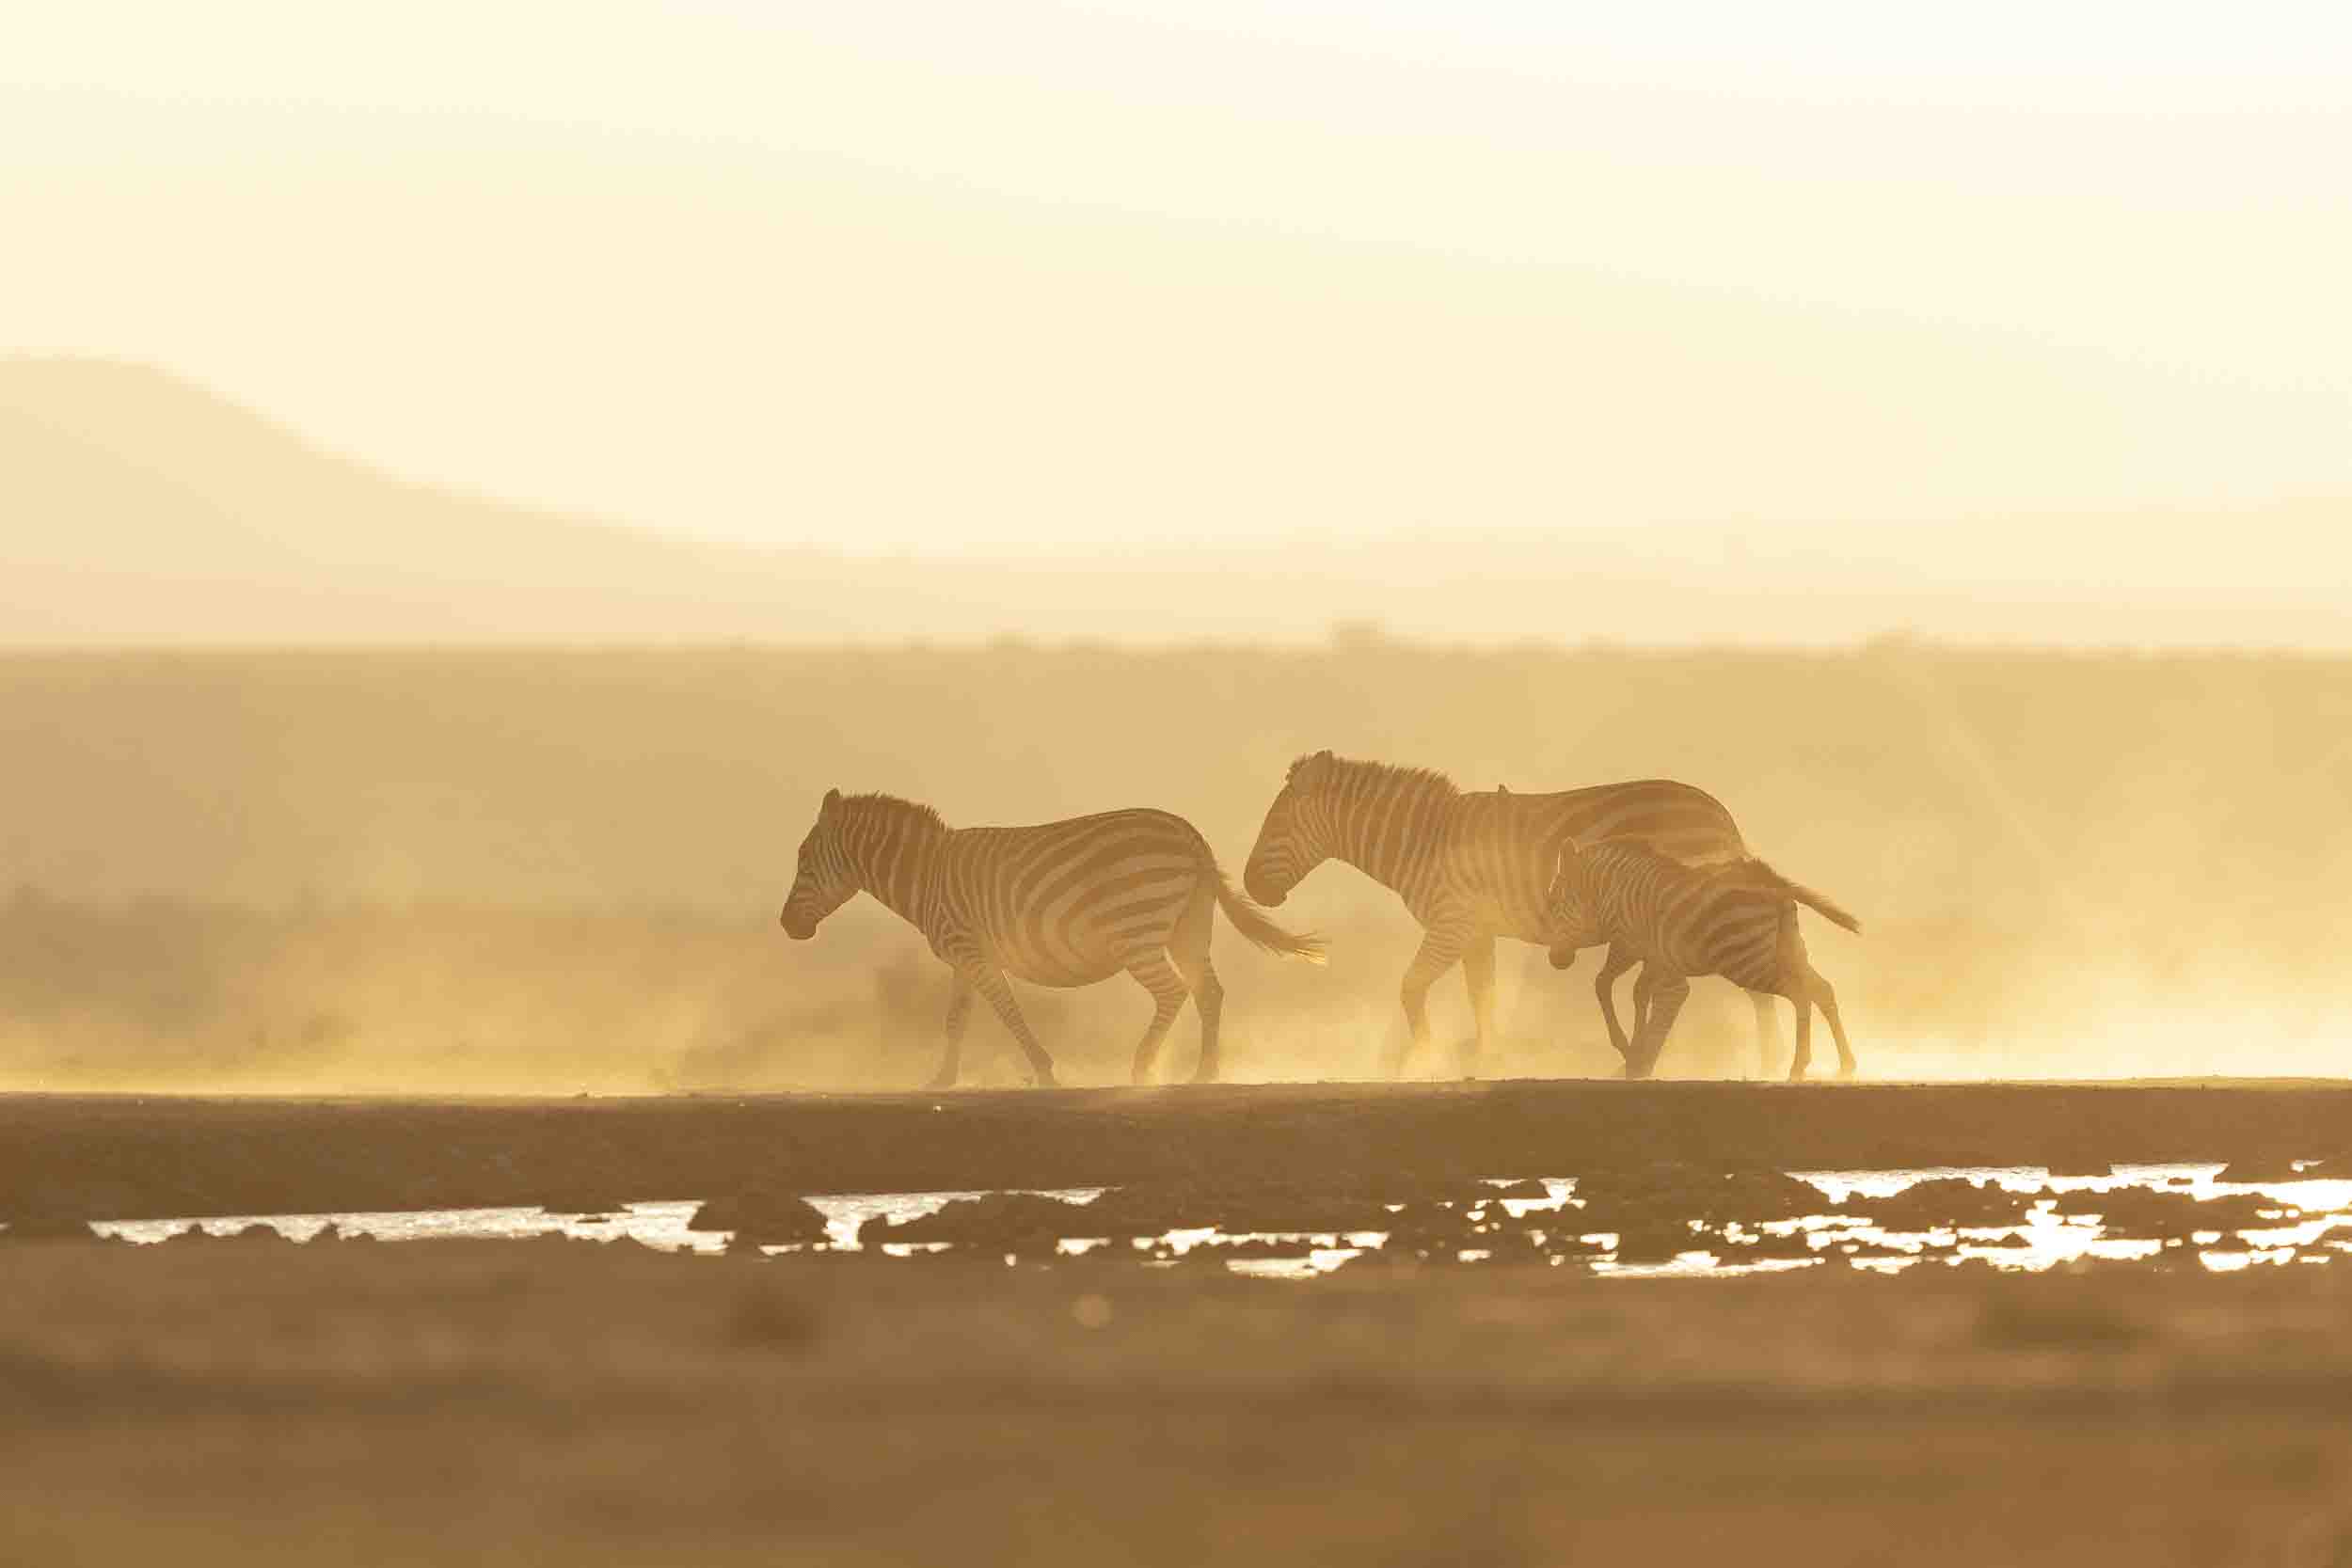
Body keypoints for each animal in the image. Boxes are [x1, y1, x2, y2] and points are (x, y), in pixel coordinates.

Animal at [779, 790, 1325, 1087]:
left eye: (803, 859)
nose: (787, 926)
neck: (927, 875)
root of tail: (1190, 836)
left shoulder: (974, 952)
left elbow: (1007, 1010)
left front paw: (1044, 1070)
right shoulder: (961, 957)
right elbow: (956, 1018)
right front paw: (941, 1079)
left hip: (1137, 933)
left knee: (1173, 991)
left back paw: (1142, 1067)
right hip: (1189, 927)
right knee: (1208, 991)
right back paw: (1204, 1072)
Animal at [1240, 751, 1782, 1078]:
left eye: (1276, 825)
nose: (1249, 886)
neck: (1424, 841)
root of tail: (1721, 816)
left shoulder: (1451, 923)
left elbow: (1412, 988)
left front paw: (1426, 1058)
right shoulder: (1477, 933)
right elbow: (1483, 996)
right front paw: (1488, 1060)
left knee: (1681, 992)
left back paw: (1643, 1066)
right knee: (1754, 987)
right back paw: (1768, 1065)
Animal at [1545, 839, 1860, 1081]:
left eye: (1554, 902)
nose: (1556, 960)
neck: (1610, 889)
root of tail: (1773, 881)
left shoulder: (1628, 945)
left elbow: (1605, 985)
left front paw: (1630, 1050)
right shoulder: (1654, 956)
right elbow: (1639, 993)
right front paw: (1637, 1055)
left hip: (1746, 962)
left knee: (1800, 994)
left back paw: (1798, 1067)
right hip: (1788, 949)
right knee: (1822, 990)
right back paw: (1846, 1066)